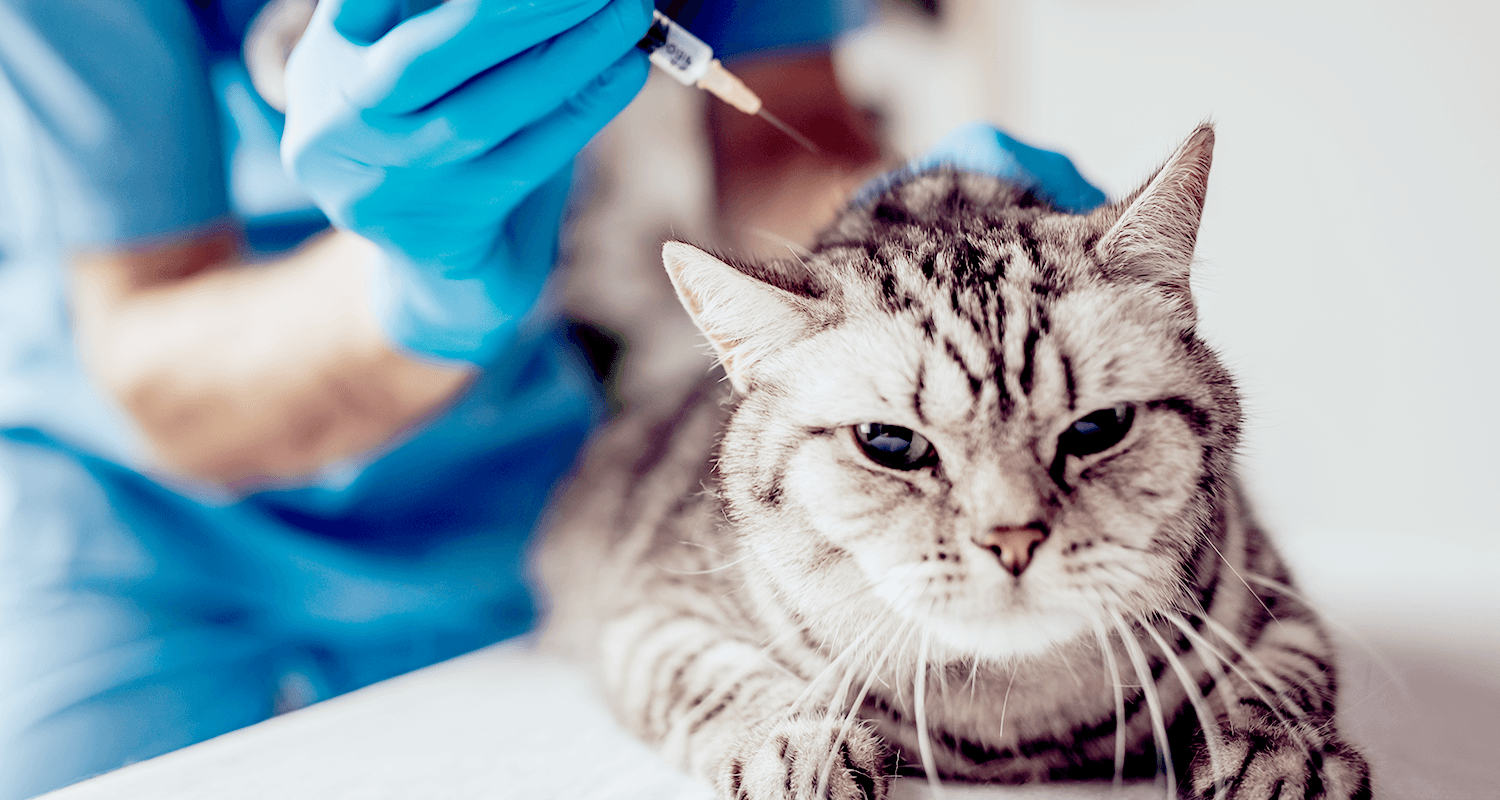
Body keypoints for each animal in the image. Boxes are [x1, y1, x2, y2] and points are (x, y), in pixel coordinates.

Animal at [537, 124, 1374, 798]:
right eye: (890, 445)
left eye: (1098, 428)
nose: (1012, 538)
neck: (1015, 720)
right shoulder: (650, 616)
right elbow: (719, 680)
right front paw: (798, 750)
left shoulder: (1271, 594)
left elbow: (1279, 684)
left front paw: (1282, 762)